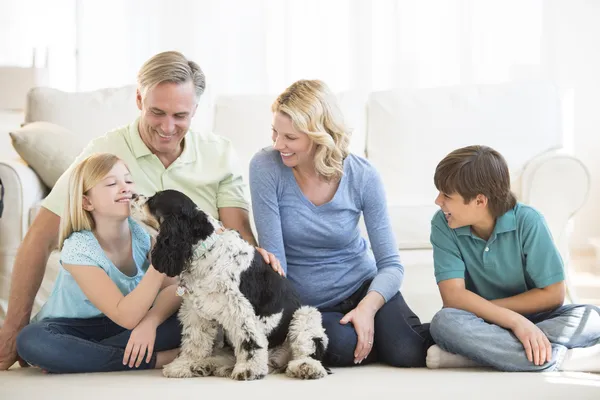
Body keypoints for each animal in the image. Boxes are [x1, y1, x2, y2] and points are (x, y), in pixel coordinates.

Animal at [129, 191, 330, 382]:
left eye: (154, 200)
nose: (132, 195)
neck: (205, 250)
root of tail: (275, 360)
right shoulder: (196, 311)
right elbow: (194, 341)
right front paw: (184, 365)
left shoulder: (238, 308)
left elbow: (249, 341)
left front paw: (249, 370)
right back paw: (204, 366)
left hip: (305, 316)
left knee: (306, 352)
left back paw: (306, 368)